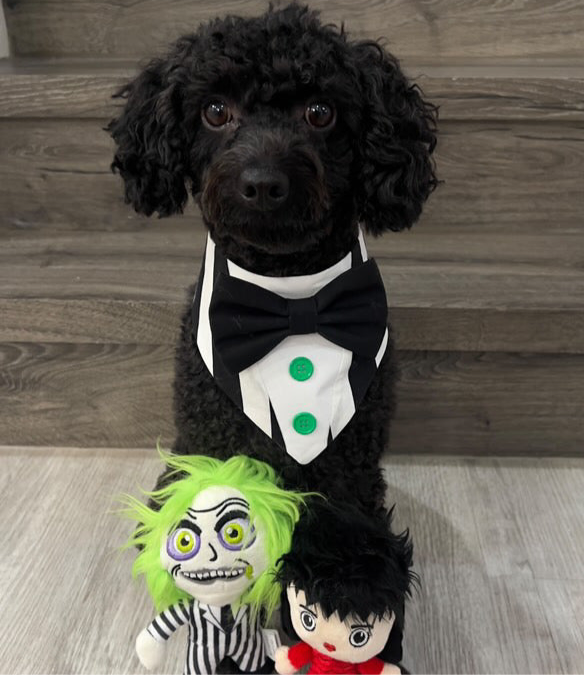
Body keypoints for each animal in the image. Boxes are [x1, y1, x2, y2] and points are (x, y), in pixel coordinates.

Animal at [106, 3, 434, 512]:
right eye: (215, 111)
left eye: (320, 112)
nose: (262, 183)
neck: (289, 294)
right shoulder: (211, 437)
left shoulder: (350, 468)